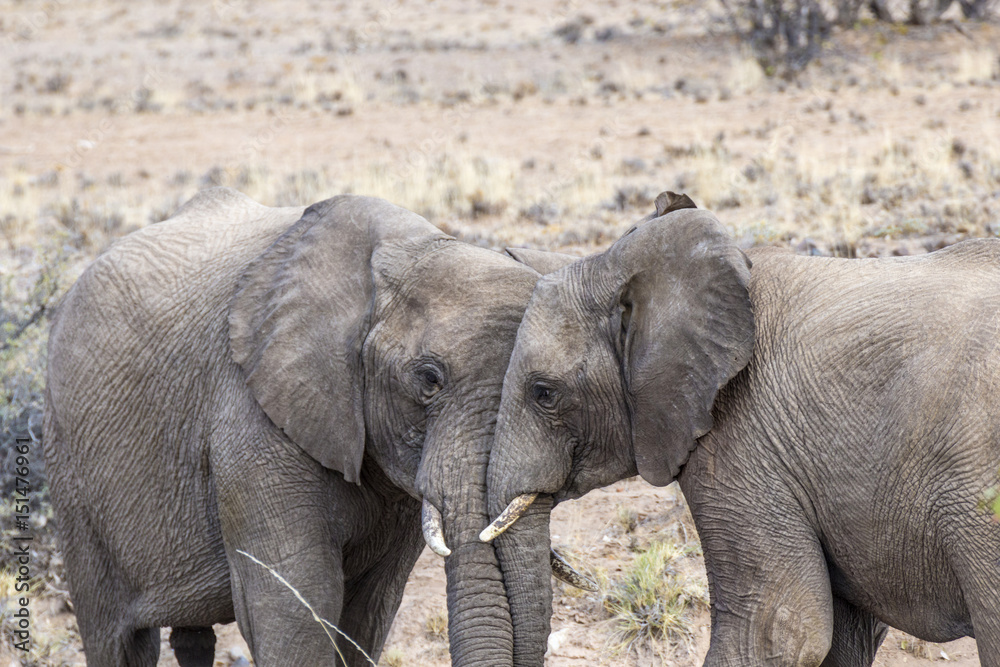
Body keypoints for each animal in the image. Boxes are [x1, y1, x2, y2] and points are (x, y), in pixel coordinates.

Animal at [43, 188, 584, 667]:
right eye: (428, 379)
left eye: (551, 396)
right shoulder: (252, 421)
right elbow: (295, 603)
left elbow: (369, 609)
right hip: (71, 474)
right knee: (116, 639)